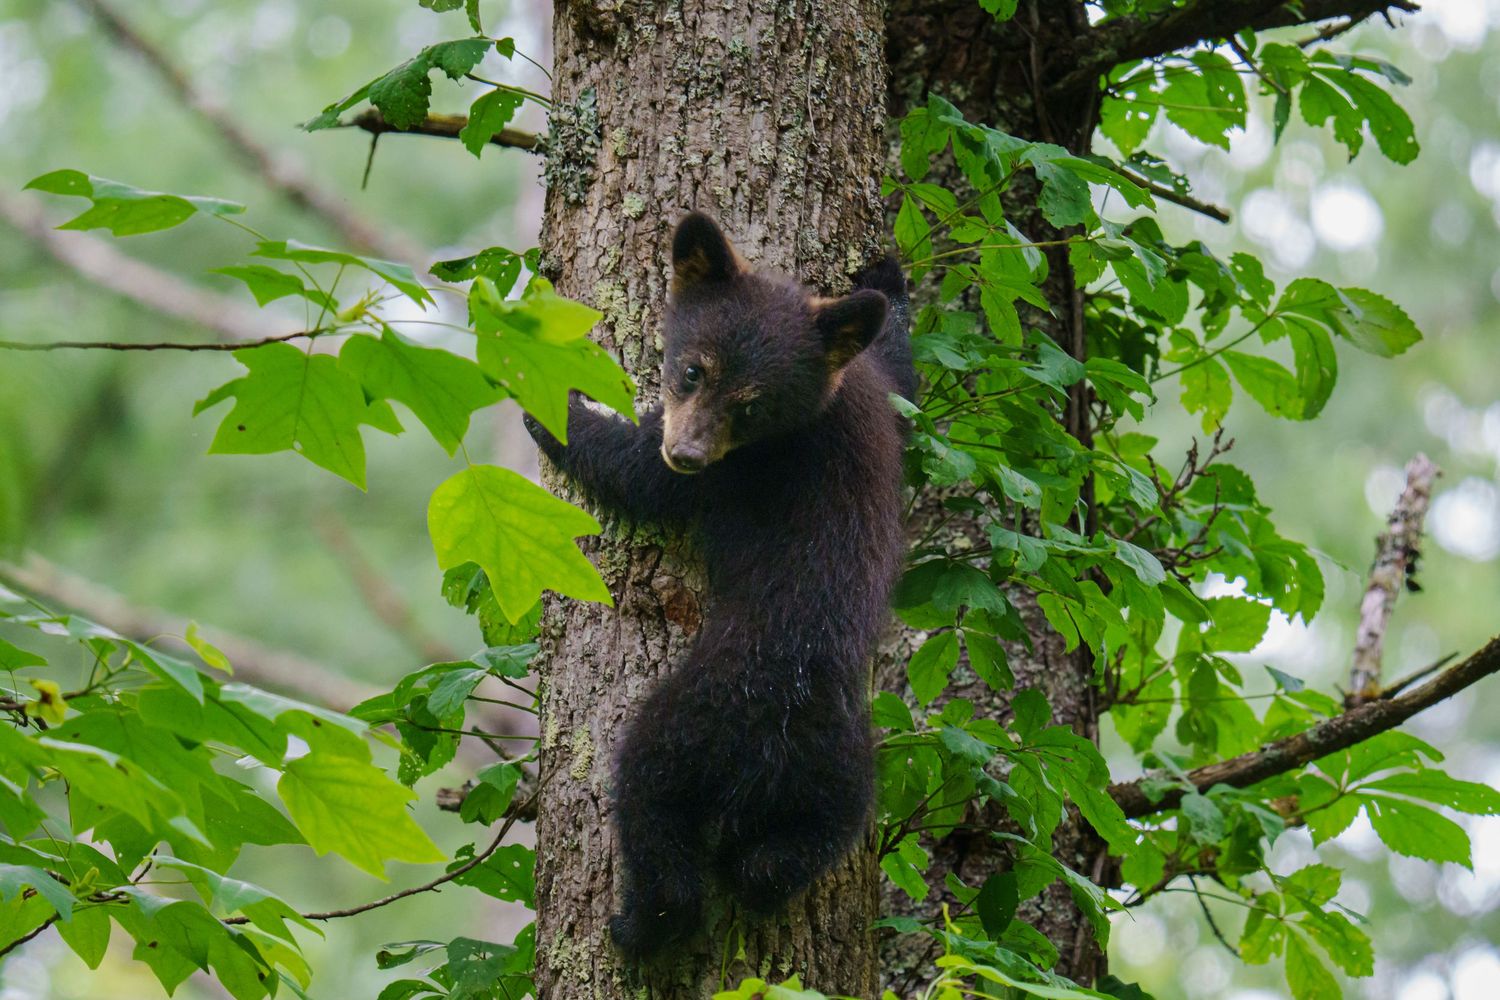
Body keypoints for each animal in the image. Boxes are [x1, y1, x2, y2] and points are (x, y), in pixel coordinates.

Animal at [526, 212, 913, 959]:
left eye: (752, 408)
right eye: (692, 370)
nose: (688, 453)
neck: (825, 408)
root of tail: (778, 747)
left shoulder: (739, 469)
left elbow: (637, 474)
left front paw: (554, 404)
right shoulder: (877, 394)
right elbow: (903, 369)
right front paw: (886, 279)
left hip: (690, 729)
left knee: (650, 805)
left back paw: (638, 927)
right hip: (845, 783)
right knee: (783, 858)